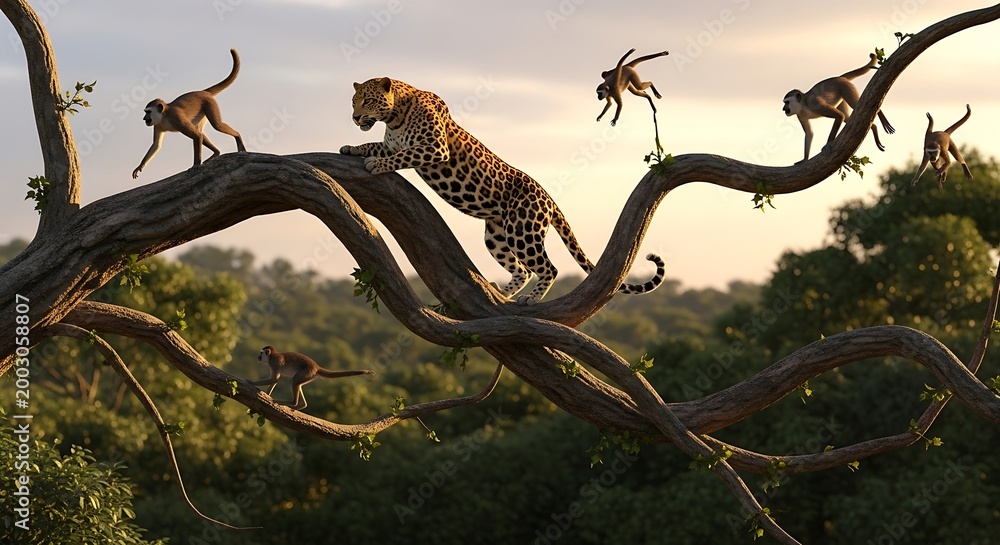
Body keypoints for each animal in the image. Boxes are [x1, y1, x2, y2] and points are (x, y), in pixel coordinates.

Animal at [132, 48, 246, 179]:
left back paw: (237, 136)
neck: (164, 115)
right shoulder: (158, 124)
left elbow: (197, 136)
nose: (144, 118)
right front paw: (140, 166)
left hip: (209, 103)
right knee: (200, 131)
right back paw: (216, 152)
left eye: (148, 112)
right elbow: (156, 145)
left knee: (215, 126)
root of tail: (203, 92)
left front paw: (196, 164)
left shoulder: (176, 117)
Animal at [339, 77, 665, 304]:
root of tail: (548, 198)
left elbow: (401, 156)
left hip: (523, 232)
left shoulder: (434, 147)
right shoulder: (393, 143)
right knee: (522, 269)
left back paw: (529, 299)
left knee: (547, 268)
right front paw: (352, 148)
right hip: (496, 235)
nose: (355, 118)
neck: (395, 115)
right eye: (353, 101)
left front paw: (376, 164)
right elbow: (374, 144)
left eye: (368, 100)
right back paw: (502, 293)